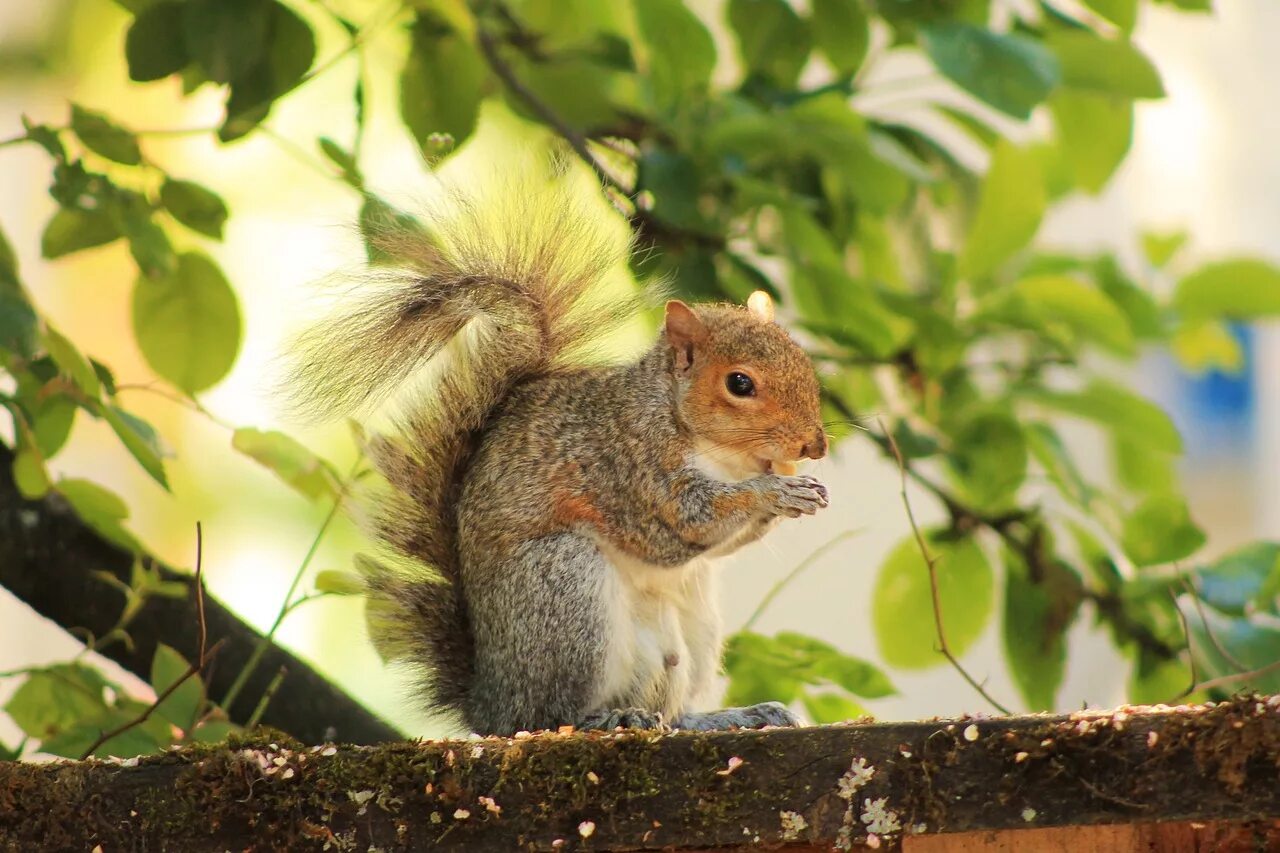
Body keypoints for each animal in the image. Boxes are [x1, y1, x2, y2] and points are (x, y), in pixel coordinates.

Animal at [289, 171, 829, 732]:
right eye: (739, 383)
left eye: (803, 360)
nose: (814, 444)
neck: (714, 449)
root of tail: (491, 704)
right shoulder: (626, 470)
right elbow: (683, 525)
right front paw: (774, 492)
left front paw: (799, 490)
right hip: (565, 594)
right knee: (550, 712)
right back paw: (605, 719)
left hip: (692, 632)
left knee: (671, 711)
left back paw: (720, 717)